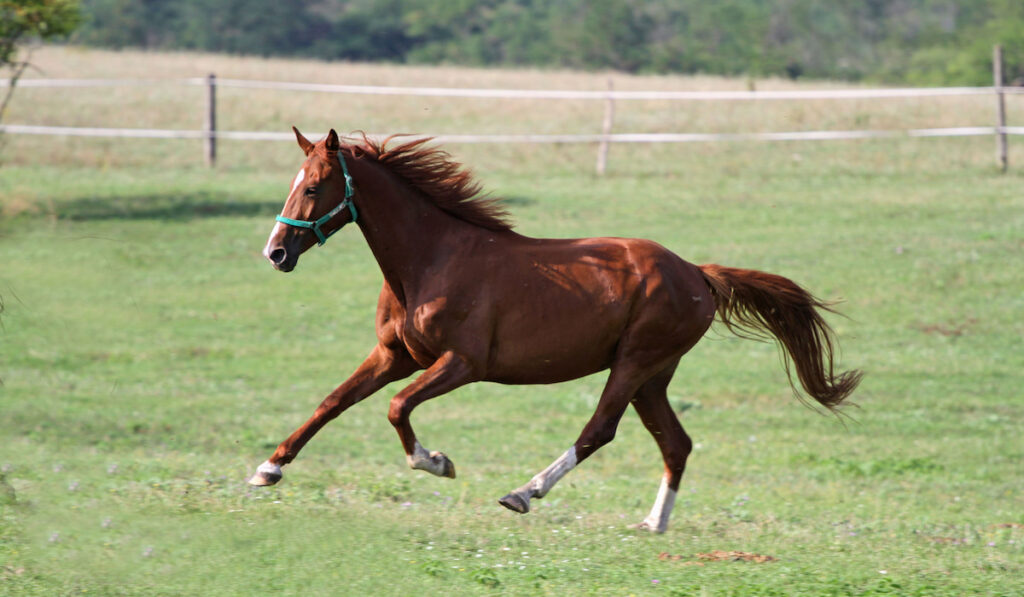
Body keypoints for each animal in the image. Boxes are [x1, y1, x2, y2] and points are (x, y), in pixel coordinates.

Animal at [249, 125, 864, 532]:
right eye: (293, 182)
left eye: (314, 187)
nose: (275, 253)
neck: (431, 259)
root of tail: (697, 273)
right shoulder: (393, 355)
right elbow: (332, 402)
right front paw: (268, 468)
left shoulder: (462, 364)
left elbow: (397, 408)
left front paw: (437, 462)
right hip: (653, 376)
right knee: (676, 442)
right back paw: (653, 523)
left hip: (635, 363)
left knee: (600, 430)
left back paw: (524, 493)